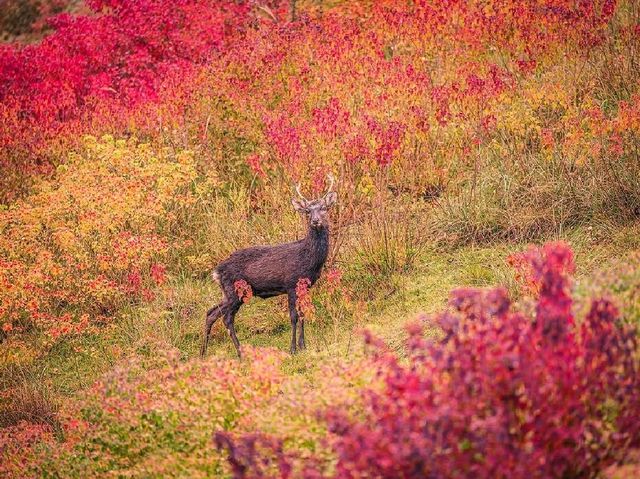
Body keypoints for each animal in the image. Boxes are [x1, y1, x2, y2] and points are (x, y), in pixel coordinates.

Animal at [200, 175, 338, 358]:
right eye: (307, 211)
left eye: (324, 208)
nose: (315, 221)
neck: (308, 259)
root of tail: (216, 271)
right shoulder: (291, 283)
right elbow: (293, 316)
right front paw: (293, 349)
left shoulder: (305, 286)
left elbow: (302, 314)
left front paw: (303, 346)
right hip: (235, 290)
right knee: (226, 318)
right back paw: (240, 352)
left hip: (229, 293)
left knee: (211, 313)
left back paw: (203, 353)